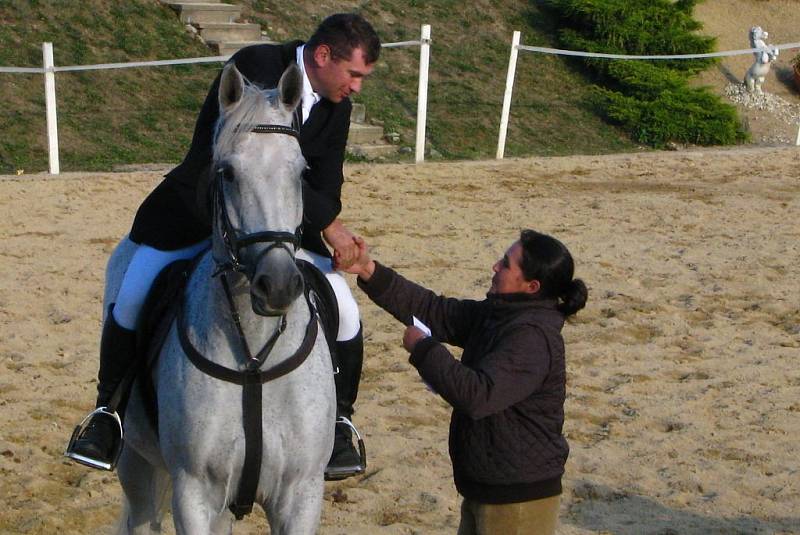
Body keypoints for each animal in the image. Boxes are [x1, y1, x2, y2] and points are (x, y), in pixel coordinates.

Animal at [104, 61, 334, 532]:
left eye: (301, 172)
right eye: (226, 172)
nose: (278, 284)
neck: (255, 359)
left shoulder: (301, 495)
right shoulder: (194, 493)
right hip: (136, 461)